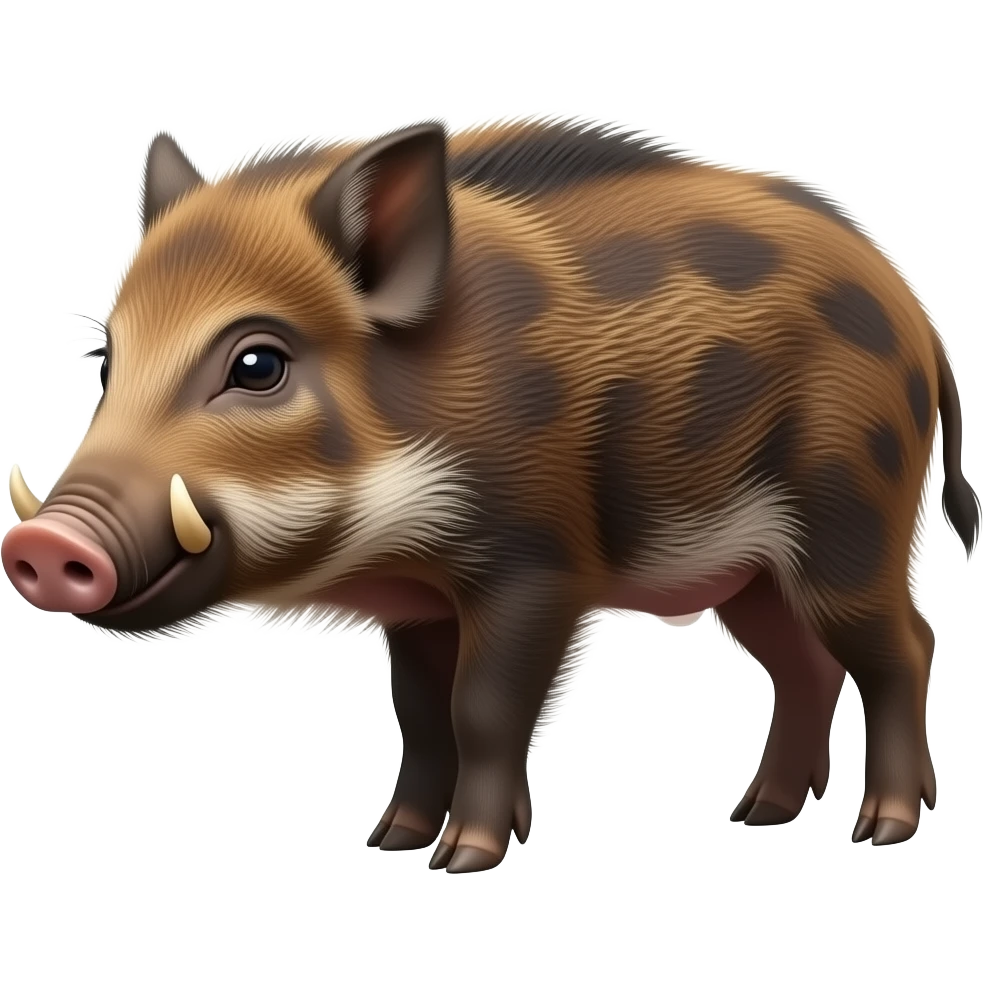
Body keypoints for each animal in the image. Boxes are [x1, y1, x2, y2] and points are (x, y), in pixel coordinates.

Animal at [2, 115, 977, 871]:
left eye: (258, 364)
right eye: (107, 360)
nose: (45, 546)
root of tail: (920, 320)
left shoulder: (537, 567)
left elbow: (483, 707)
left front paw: (463, 857)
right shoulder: (417, 603)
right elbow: (421, 715)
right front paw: (391, 841)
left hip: (852, 521)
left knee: (903, 646)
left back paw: (880, 830)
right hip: (749, 576)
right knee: (805, 666)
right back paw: (757, 815)